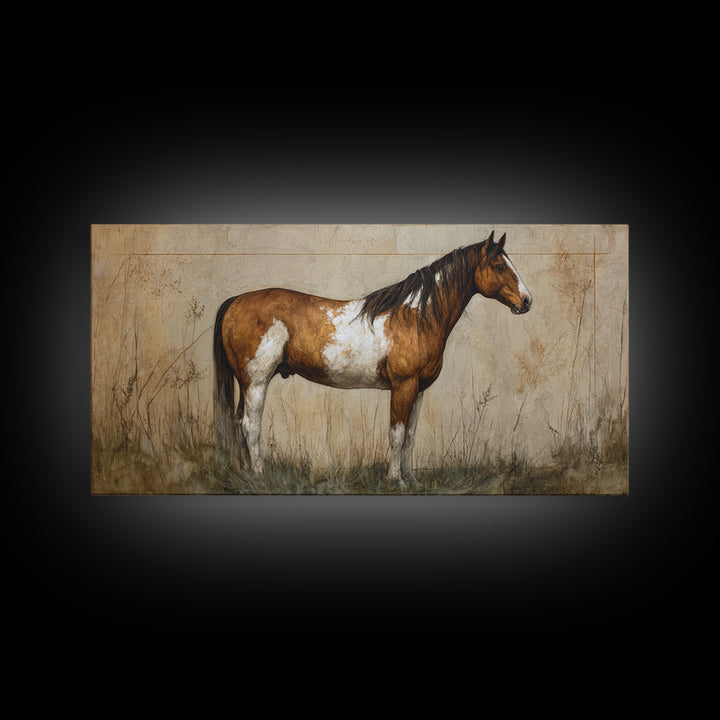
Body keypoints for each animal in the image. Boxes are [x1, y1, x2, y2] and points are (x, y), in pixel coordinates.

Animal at [213, 230, 532, 486]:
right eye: (499, 266)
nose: (527, 301)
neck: (416, 317)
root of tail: (235, 301)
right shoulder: (403, 386)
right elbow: (396, 433)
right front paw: (396, 481)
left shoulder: (418, 390)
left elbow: (411, 437)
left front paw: (412, 480)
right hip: (256, 381)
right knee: (250, 425)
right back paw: (258, 474)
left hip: (246, 383)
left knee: (239, 423)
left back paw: (246, 472)